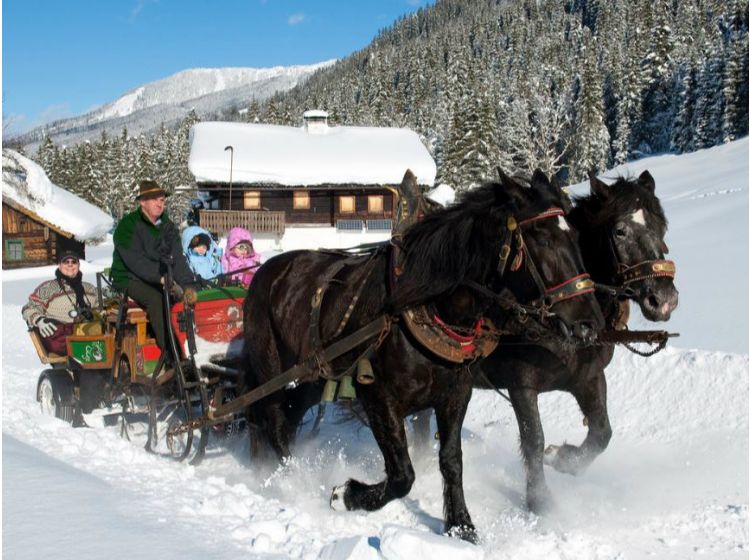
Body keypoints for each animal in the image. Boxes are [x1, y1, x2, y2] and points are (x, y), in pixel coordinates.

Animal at [242, 168, 604, 540]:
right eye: (541, 237)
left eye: (575, 235)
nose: (590, 325)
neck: (426, 304)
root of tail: (265, 273)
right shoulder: (378, 397)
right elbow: (402, 475)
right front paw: (346, 495)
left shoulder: (455, 395)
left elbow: (451, 459)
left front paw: (460, 525)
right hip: (272, 372)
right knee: (271, 419)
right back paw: (292, 479)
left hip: (312, 378)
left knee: (287, 416)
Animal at [414, 170, 684, 512]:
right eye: (620, 231)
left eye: (661, 227)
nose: (663, 300)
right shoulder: (521, 382)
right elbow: (534, 439)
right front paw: (540, 500)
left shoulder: (588, 376)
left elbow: (601, 432)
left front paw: (563, 458)